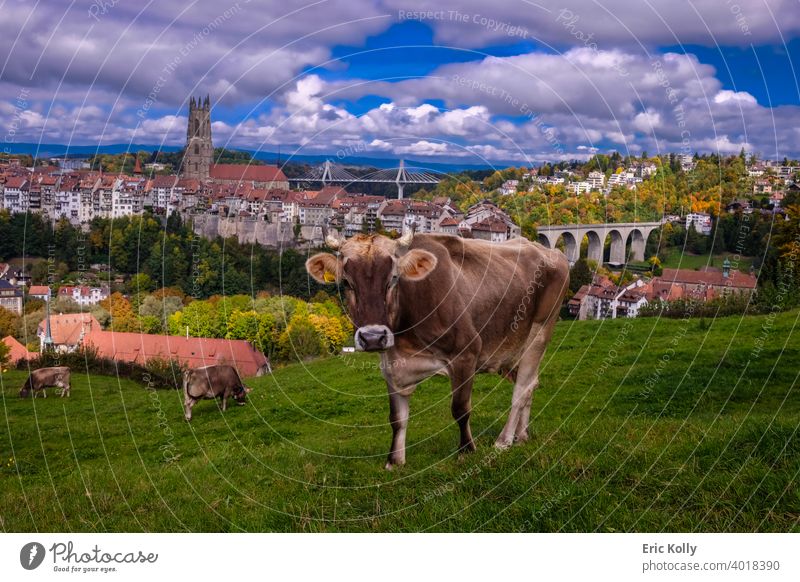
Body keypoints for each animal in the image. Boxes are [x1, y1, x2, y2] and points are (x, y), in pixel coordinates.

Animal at [306, 230, 568, 472]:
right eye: (346, 283)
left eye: (393, 279)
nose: (373, 337)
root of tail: (551, 252)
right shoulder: (391, 366)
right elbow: (397, 418)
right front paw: (394, 461)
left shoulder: (466, 354)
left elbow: (460, 409)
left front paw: (466, 451)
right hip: (512, 351)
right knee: (531, 384)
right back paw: (521, 436)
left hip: (539, 332)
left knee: (522, 390)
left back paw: (504, 440)